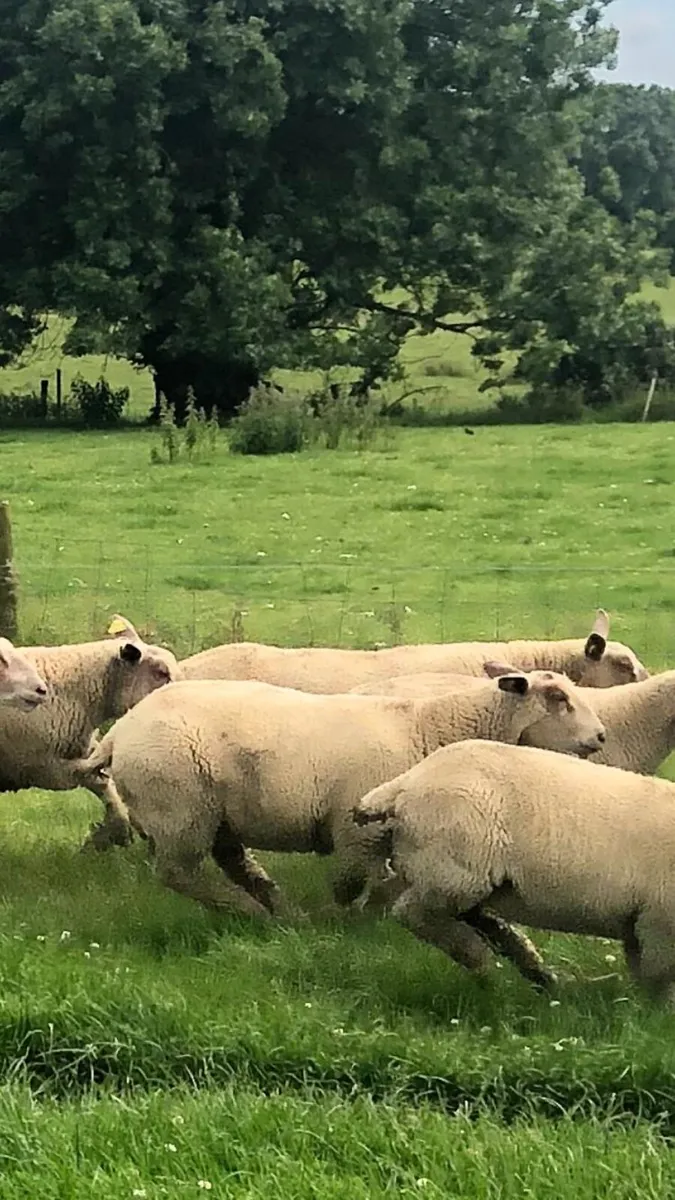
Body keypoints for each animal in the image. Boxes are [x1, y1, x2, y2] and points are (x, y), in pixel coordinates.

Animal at [75, 669, 606, 918]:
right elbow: (352, 884)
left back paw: (281, 911)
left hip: (214, 812)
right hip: (180, 809)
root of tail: (121, 730)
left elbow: (381, 882)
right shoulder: (356, 831)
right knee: (178, 873)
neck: (428, 729)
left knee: (232, 862)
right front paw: (347, 920)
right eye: (557, 698)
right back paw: (254, 912)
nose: (600, 737)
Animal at [352, 739, 675, 1004]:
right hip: (457, 866)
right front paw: (653, 1016)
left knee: (479, 919)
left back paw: (540, 974)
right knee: (413, 913)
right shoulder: (659, 921)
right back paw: (480, 960)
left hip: (462, 875)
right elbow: (658, 978)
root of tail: (406, 783)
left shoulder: (640, 920)